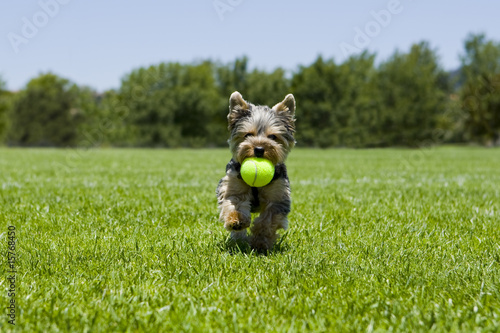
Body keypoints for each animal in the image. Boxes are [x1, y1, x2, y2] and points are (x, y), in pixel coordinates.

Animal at [216, 91, 294, 249]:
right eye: (248, 134)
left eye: (273, 136)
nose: (259, 149)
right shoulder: (233, 186)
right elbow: (236, 203)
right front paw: (237, 221)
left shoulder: (278, 197)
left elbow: (267, 220)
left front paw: (260, 242)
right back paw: (238, 239)